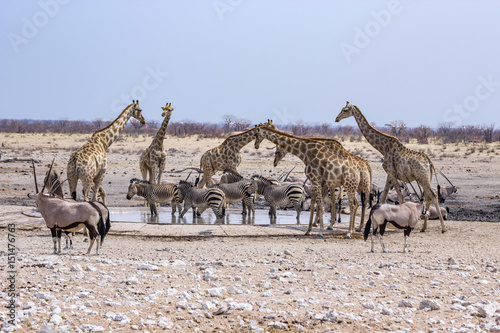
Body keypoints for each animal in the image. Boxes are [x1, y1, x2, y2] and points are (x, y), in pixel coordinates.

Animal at [334, 102, 448, 232]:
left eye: (345, 110)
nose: (336, 119)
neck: (383, 148)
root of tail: (429, 161)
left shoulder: (392, 173)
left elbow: (400, 196)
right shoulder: (390, 174)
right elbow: (383, 197)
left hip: (422, 178)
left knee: (433, 195)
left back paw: (443, 228)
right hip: (426, 178)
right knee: (429, 197)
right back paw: (424, 228)